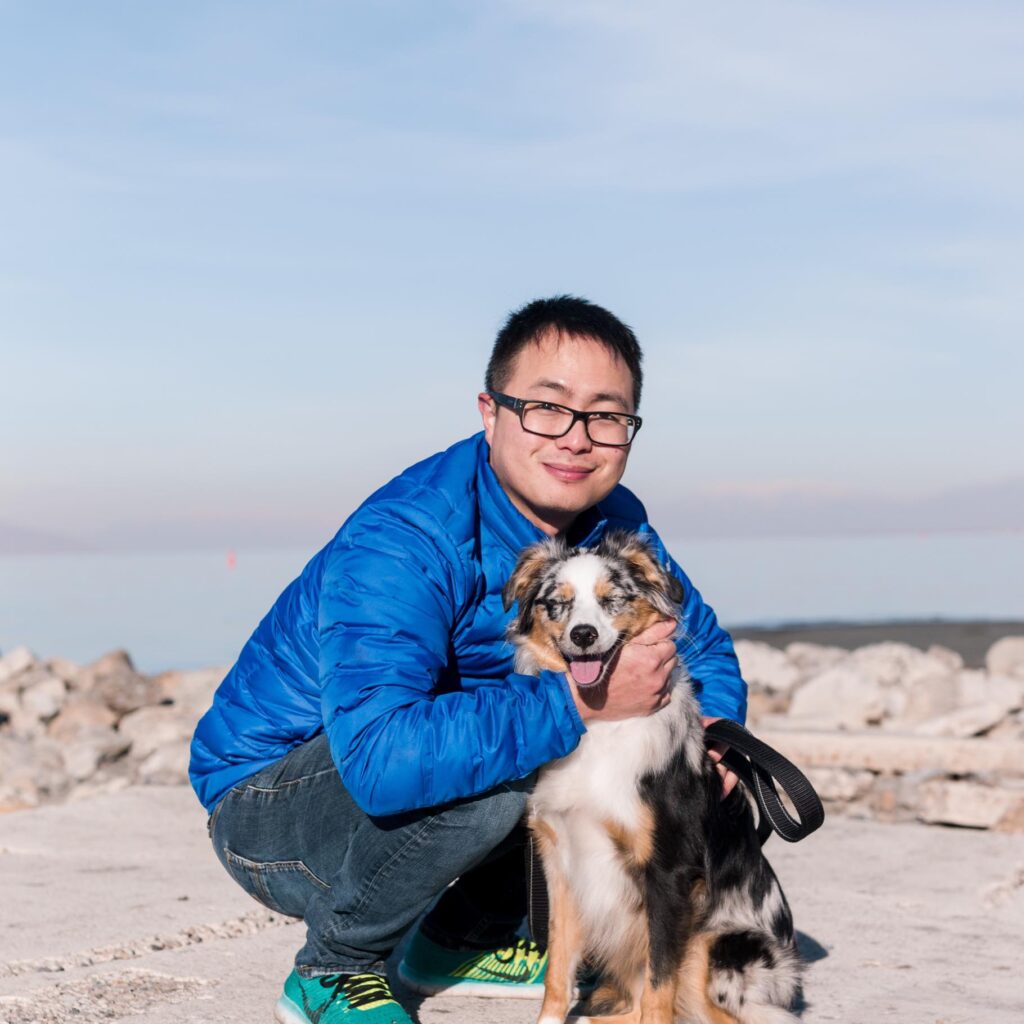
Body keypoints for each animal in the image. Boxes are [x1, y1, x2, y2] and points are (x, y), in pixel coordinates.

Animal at [503, 532, 798, 1024]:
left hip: (715, 946)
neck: (601, 723)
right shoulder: (562, 864)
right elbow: (558, 967)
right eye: (557, 603)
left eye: (613, 599)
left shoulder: (669, 872)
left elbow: (660, 982)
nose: (584, 634)